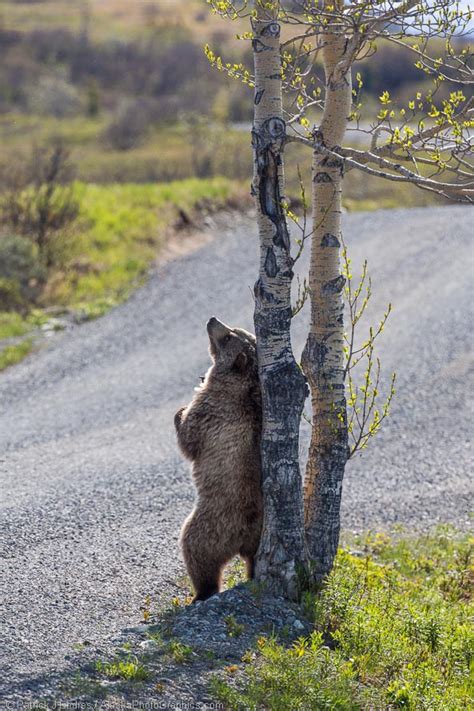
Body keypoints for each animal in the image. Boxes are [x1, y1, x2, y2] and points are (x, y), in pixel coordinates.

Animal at [174, 318, 262, 600]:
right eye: (237, 328)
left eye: (228, 336)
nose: (212, 319)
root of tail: (243, 539)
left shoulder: (211, 409)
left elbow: (189, 439)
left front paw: (180, 411)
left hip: (208, 527)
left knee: (197, 554)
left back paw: (202, 593)